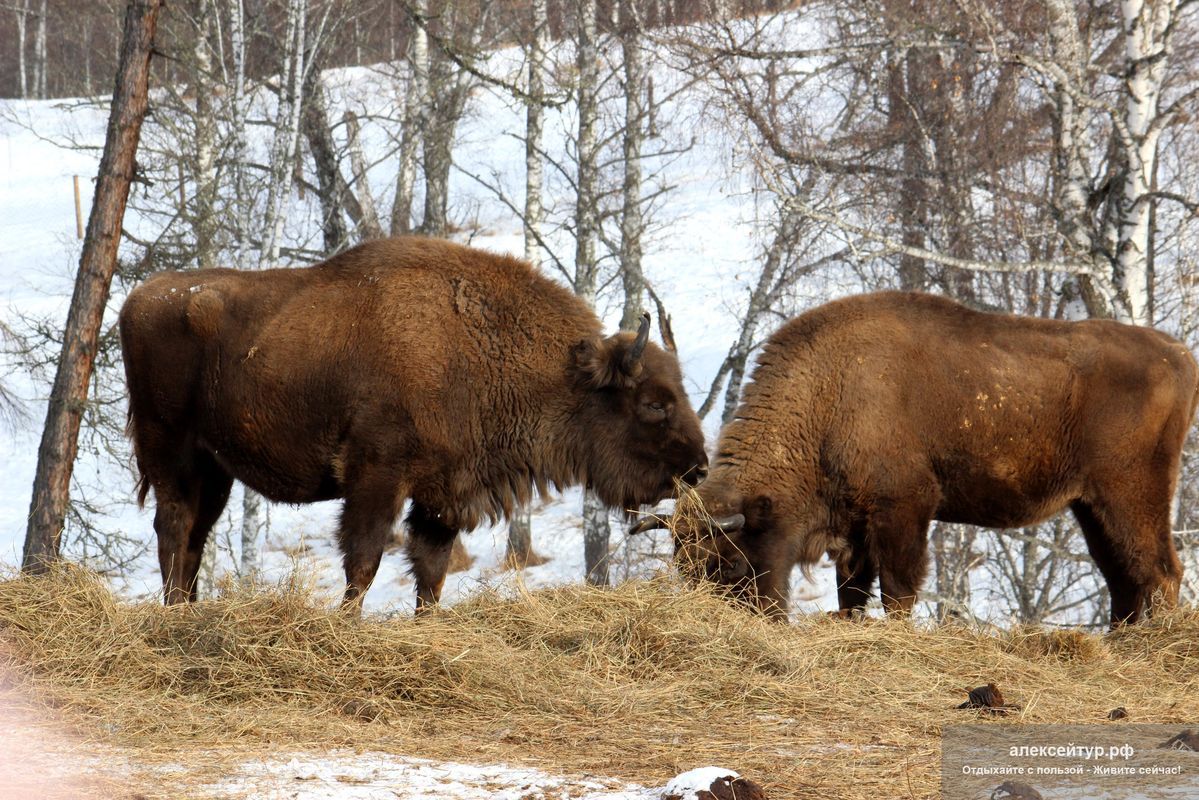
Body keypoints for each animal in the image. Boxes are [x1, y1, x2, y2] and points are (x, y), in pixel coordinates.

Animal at [116, 236, 705, 606]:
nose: (698, 468)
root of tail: (139, 298)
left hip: (215, 468)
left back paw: (189, 610)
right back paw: (173, 611)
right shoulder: (377, 477)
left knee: (196, 536)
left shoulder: (444, 496)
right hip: (171, 452)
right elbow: (365, 560)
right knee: (173, 528)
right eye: (654, 403)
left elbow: (431, 572)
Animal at [633, 292, 1194, 623]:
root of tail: (1180, 356)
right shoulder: (855, 528)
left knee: (1160, 570)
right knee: (1123, 577)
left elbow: (898, 586)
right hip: (1091, 507)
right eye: (684, 566)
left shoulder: (903, 508)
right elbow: (853, 589)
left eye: (728, 560)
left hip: (1131, 495)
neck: (827, 393)